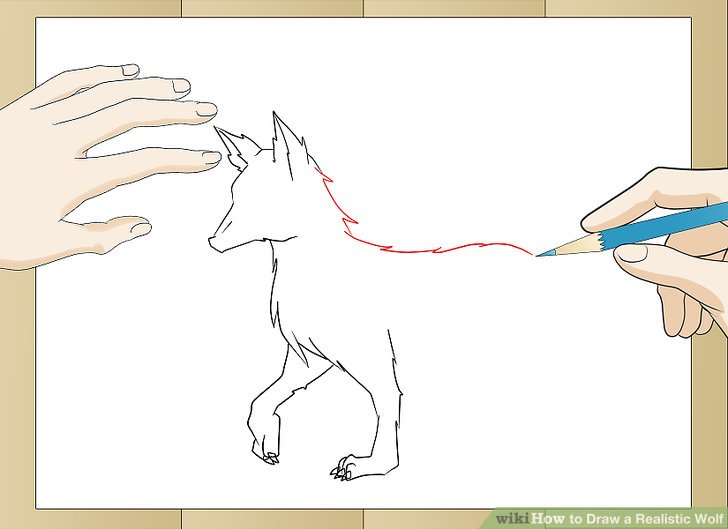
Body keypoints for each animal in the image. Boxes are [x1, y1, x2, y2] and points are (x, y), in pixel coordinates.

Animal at [209, 113, 404, 481]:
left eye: (262, 198)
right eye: (234, 196)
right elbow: (262, 401)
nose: (213, 241)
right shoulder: (312, 356)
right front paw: (265, 441)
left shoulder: (371, 354)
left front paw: (373, 465)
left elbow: (387, 402)